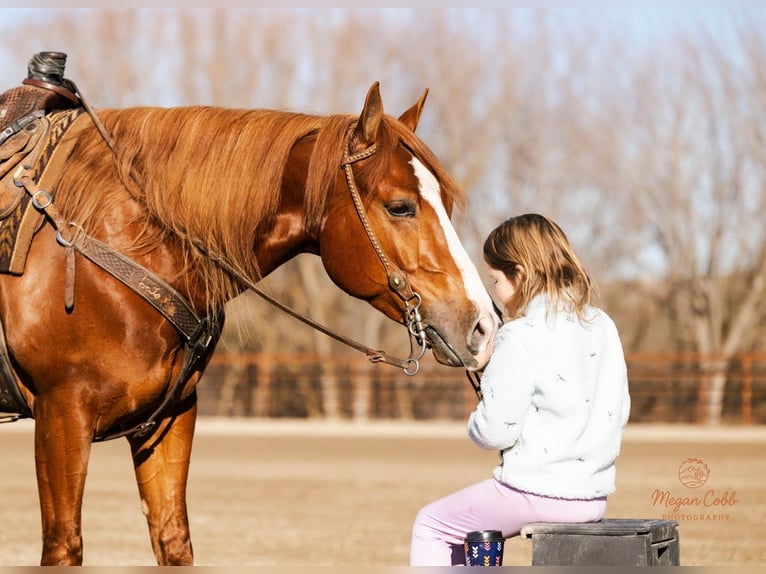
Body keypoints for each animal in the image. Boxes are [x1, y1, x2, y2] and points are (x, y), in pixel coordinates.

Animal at [0, 81, 499, 565]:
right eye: (400, 207)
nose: (481, 325)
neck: (114, 239)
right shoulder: (62, 414)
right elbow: (64, 547)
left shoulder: (169, 419)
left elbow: (173, 540)